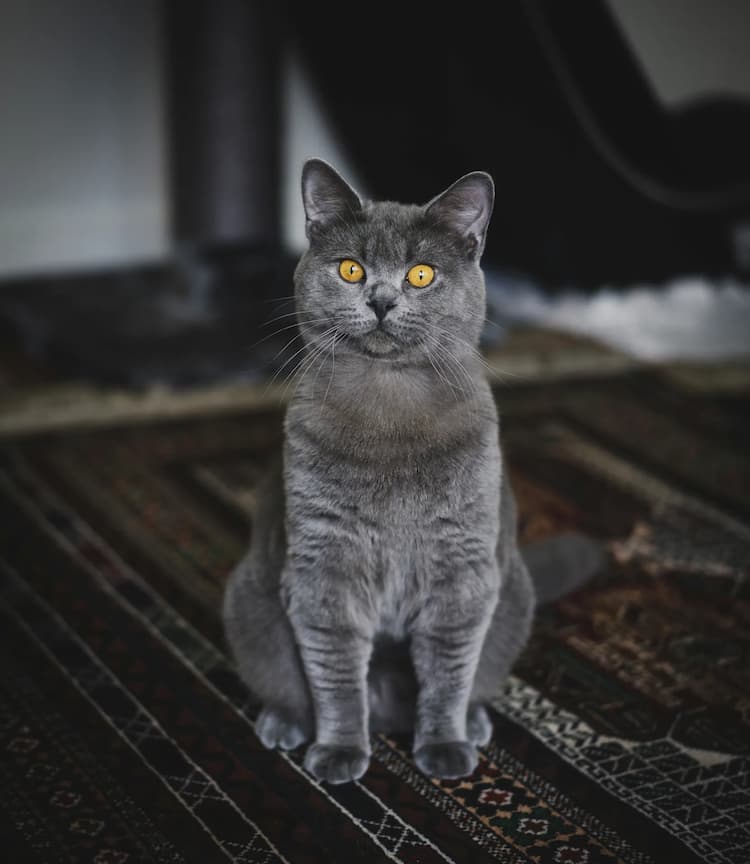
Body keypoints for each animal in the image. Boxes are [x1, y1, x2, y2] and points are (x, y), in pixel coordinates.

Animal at [222, 159, 600, 788]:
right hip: (249, 601)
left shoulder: (462, 570)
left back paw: (472, 724)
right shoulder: (325, 568)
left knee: (474, 679)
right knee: (290, 683)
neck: (389, 410)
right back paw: (285, 724)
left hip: (511, 594)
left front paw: (444, 746)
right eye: (351, 269)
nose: (380, 300)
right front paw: (340, 752)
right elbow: (336, 676)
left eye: (421, 275)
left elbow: (448, 672)